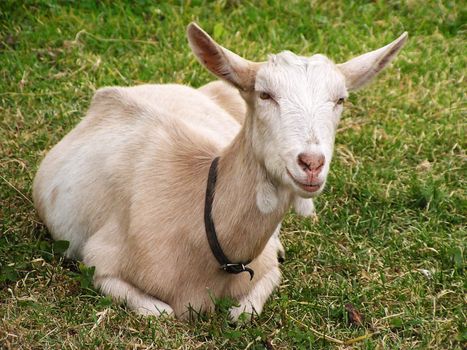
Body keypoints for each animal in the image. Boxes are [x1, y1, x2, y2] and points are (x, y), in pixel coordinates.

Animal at [33, 22, 408, 320]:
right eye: (264, 94)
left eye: (340, 99)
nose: (311, 163)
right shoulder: (98, 260)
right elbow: (161, 312)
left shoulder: (266, 269)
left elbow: (245, 311)